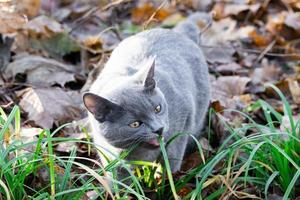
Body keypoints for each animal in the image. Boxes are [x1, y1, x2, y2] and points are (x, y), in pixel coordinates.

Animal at [82, 13, 211, 177]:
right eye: (135, 124)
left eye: (157, 109)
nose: (158, 129)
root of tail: (175, 31)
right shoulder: (108, 154)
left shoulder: (184, 116)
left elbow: (172, 157)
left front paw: (167, 179)